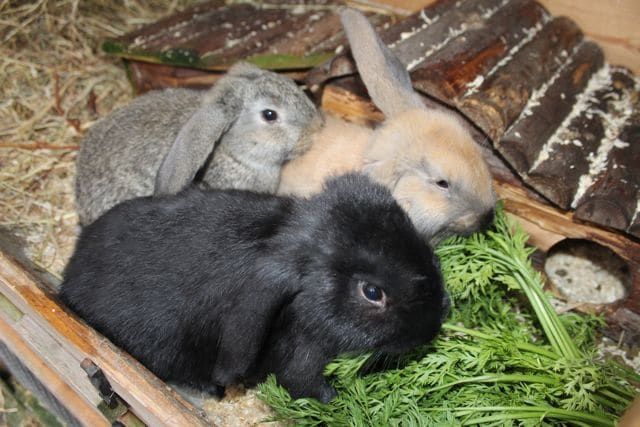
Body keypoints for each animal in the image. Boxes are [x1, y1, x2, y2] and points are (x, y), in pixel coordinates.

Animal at [59, 173, 449, 403]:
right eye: (372, 293)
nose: (434, 324)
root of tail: (68, 281)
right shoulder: (304, 355)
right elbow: (305, 384)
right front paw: (337, 399)